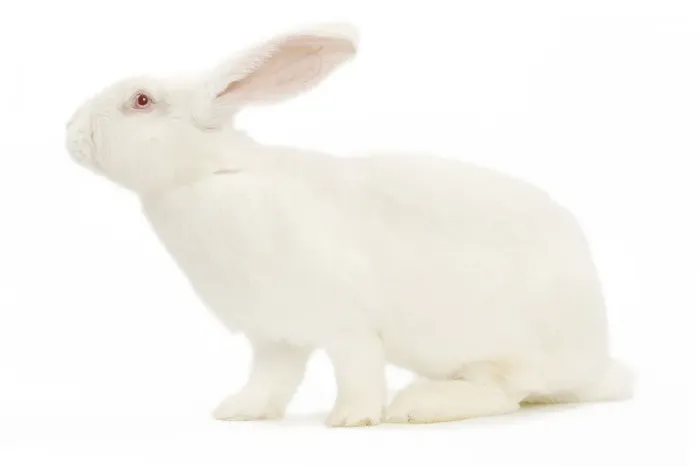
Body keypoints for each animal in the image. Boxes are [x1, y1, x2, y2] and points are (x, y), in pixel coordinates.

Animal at [65, 22, 633, 427]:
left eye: (140, 101)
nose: (70, 133)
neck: (207, 176)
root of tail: (596, 362)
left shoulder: (347, 321)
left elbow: (357, 368)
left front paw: (352, 419)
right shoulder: (273, 335)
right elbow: (272, 378)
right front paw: (239, 410)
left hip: (501, 347)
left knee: (504, 392)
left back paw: (417, 405)